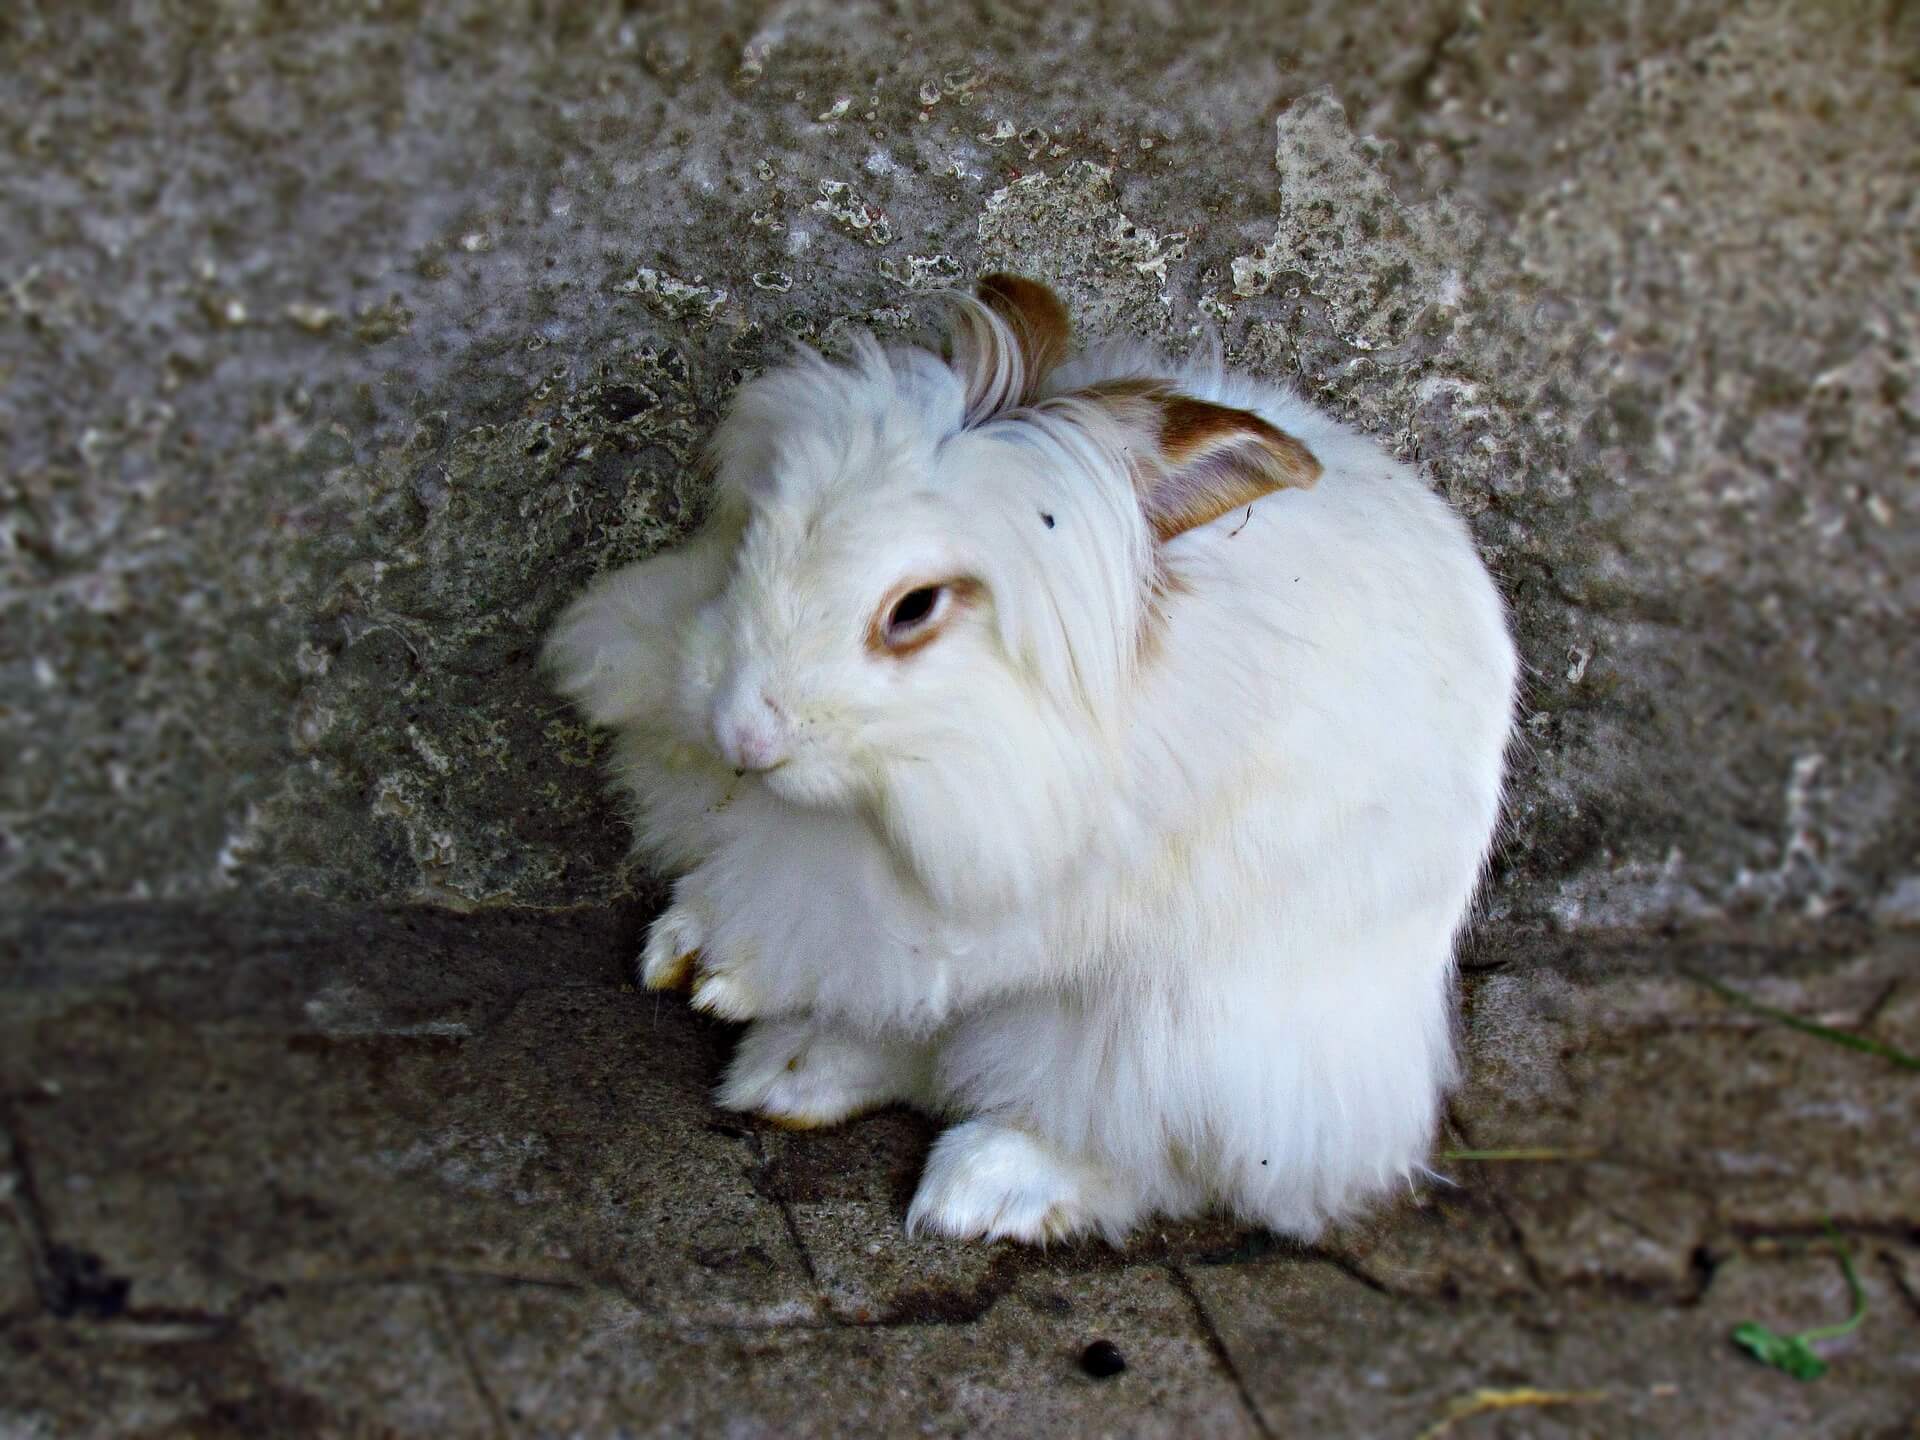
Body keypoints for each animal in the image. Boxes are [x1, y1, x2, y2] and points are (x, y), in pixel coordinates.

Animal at [545, 276, 1512, 1244]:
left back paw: (984, 1187)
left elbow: (843, 931)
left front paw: (729, 974)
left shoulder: (1002, 895)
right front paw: (682, 948)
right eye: (752, 540)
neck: (876, 794)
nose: (743, 733)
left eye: (914, 609)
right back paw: (791, 1073)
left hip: (1191, 1038)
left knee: (1154, 1148)